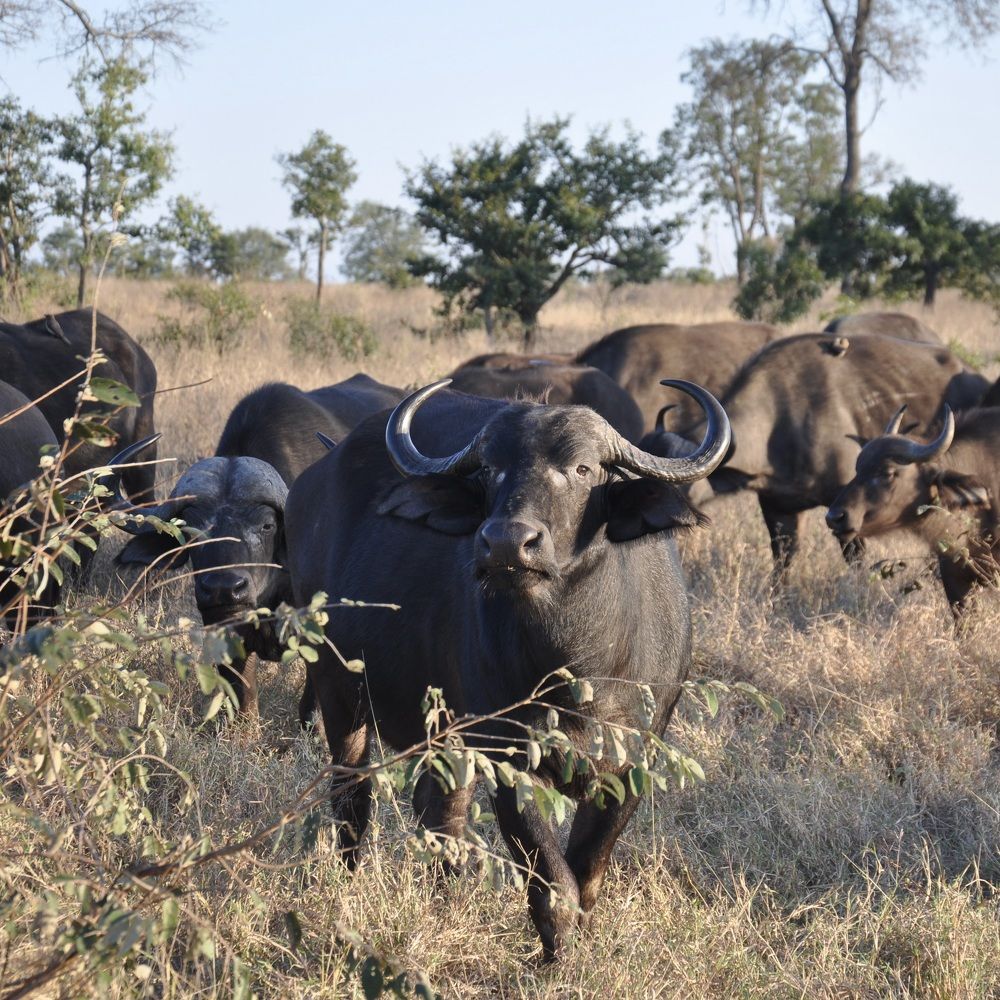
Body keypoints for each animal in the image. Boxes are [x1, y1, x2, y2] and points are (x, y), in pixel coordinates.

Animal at [285, 377, 729, 957]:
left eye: (583, 468)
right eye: (491, 469)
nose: (506, 543)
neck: (576, 669)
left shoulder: (635, 759)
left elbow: (588, 870)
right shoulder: (507, 755)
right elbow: (553, 878)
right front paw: (556, 954)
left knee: (440, 806)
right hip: (338, 689)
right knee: (354, 796)